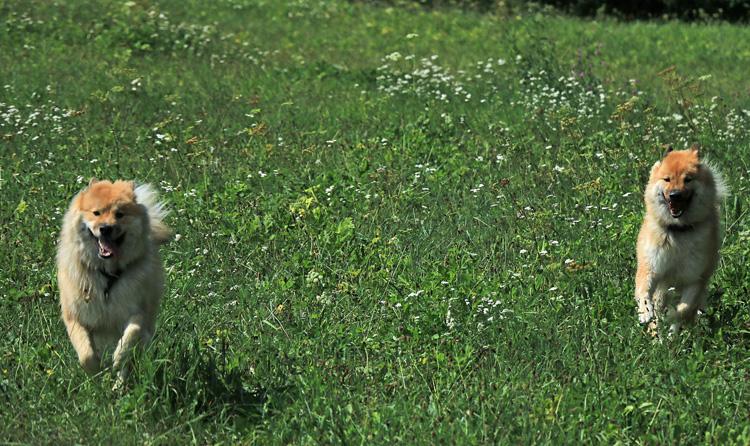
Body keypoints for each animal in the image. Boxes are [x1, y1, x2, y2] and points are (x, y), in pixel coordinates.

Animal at [57, 178, 172, 386]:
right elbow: (86, 353)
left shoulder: (137, 311)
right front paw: (94, 372)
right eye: (96, 212)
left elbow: (132, 332)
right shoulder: (74, 316)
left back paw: (118, 386)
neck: (108, 276)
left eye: (119, 214)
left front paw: (119, 356)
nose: (105, 228)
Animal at [636, 143, 724, 332]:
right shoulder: (651, 267)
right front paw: (645, 312)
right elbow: (643, 290)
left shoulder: (696, 278)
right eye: (667, 179)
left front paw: (671, 318)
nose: (675, 195)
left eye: (687, 179)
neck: (678, 231)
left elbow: (684, 309)